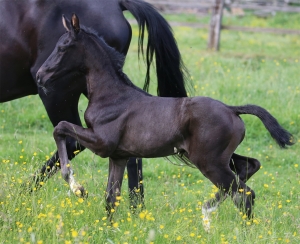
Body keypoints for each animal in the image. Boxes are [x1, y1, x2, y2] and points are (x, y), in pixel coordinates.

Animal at [0, 0, 190, 203]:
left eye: (62, 48)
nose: (40, 76)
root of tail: (117, 4)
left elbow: (63, 132)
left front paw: (78, 188)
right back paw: (136, 207)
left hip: (58, 96)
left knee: (72, 142)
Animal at [35, 14, 292, 229]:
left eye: (63, 47)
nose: (39, 76)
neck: (111, 95)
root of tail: (231, 109)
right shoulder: (118, 156)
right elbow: (111, 197)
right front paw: (107, 229)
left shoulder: (102, 143)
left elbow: (61, 128)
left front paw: (76, 187)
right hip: (220, 157)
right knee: (248, 168)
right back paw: (210, 209)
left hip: (208, 161)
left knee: (244, 192)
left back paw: (218, 218)